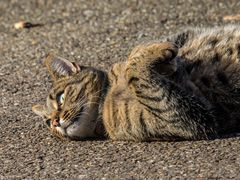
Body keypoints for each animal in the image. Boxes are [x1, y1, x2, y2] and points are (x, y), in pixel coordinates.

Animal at [32, 25, 240, 141]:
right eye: (48, 122)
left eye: (61, 98)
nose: (56, 121)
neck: (106, 101)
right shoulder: (184, 117)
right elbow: (134, 68)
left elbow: (133, 57)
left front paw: (161, 55)